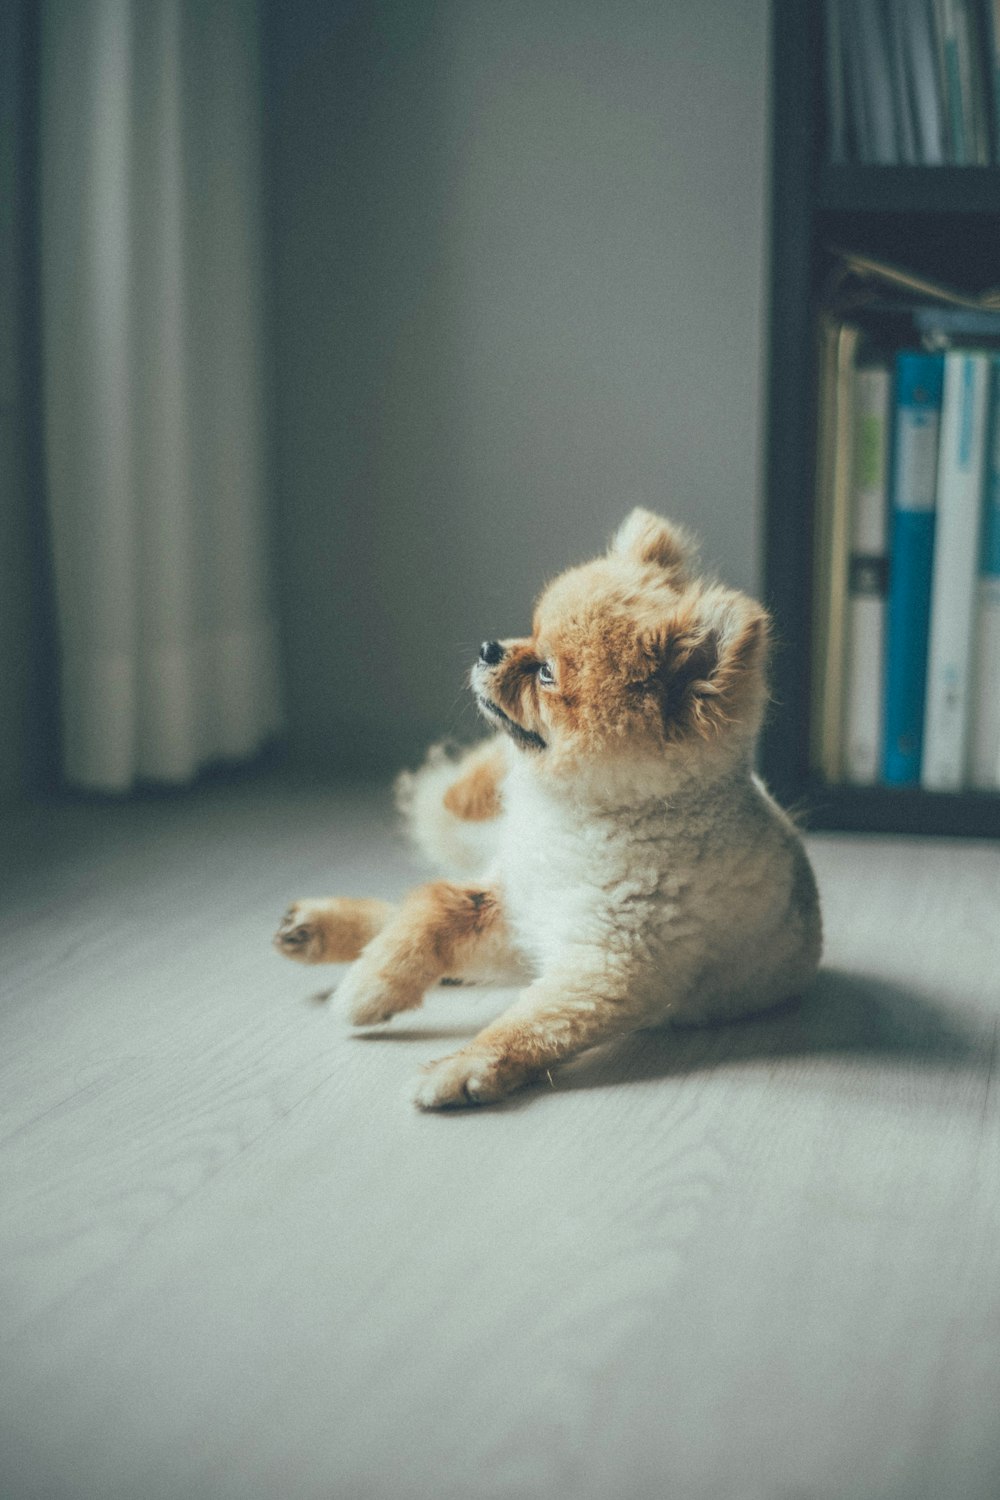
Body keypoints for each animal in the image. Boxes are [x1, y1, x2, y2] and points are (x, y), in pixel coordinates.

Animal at [274, 510, 821, 1110]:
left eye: (547, 674)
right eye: (529, 633)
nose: (488, 647)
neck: (575, 814)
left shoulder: (606, 966)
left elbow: (531, 1024)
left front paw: (461, 1067)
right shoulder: (512, 904)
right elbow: (431, 911)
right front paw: (370, 987)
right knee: (411, 900)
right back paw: (320, 928)